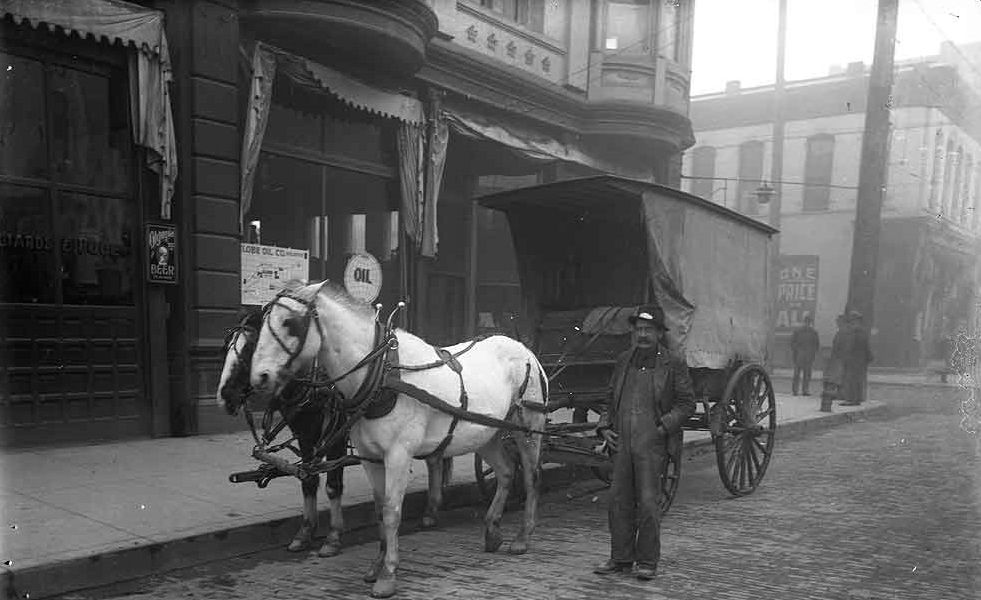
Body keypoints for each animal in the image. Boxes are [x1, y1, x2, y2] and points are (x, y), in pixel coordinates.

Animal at [218, 302, 452, 560]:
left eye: (252, 347)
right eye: (226, 346)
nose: (225, 396)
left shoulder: (337, 436)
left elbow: (333, 486)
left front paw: (333, 537)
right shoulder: (305, 435)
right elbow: (308, 480)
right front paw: (304, 532)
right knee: (436, 457)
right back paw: (432, 509)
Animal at [249, 282, 548, 600]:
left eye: (290, 323)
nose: (259, 377)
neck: (381, 373)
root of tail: (525, 350)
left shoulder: (398, 454)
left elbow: (392, 511)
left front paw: (388, 575)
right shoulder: (370, 457)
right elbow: (380, 510)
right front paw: (376, 566)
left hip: (528, 427)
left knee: (531, 477)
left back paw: (523, 537)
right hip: (486, 433)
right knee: (505, 472)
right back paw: (492, 530)